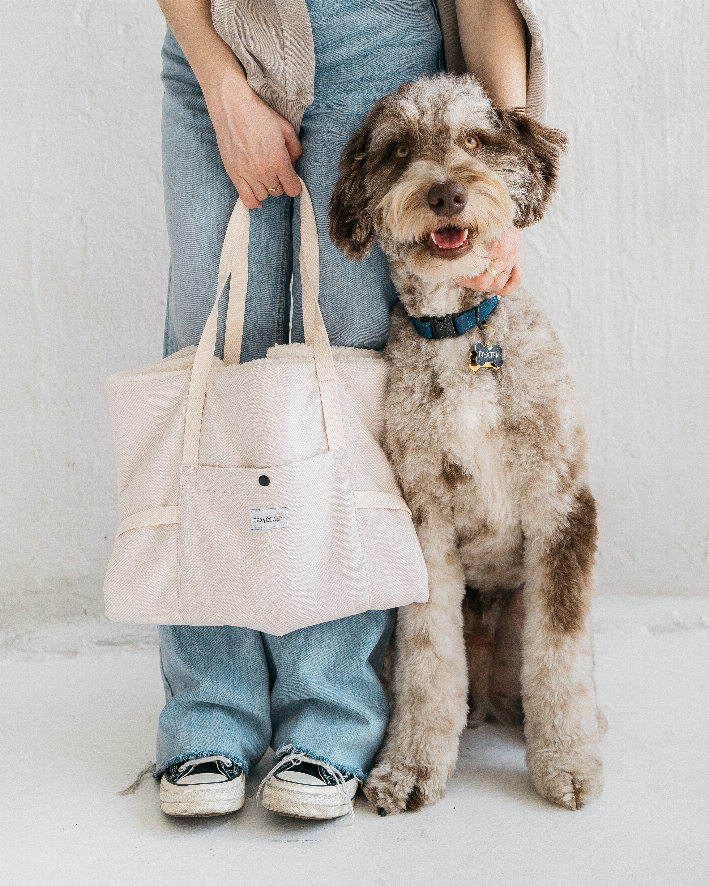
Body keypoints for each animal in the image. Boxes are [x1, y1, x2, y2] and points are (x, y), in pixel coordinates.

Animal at [330, 76, 604, 820]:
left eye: (476, 140)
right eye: (398, 152)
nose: (447, 192)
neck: (461, 332)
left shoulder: (562, 505)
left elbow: (561, 653)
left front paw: (568, 763)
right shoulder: (423, 521)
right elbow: (429, 658)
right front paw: (409, 768)